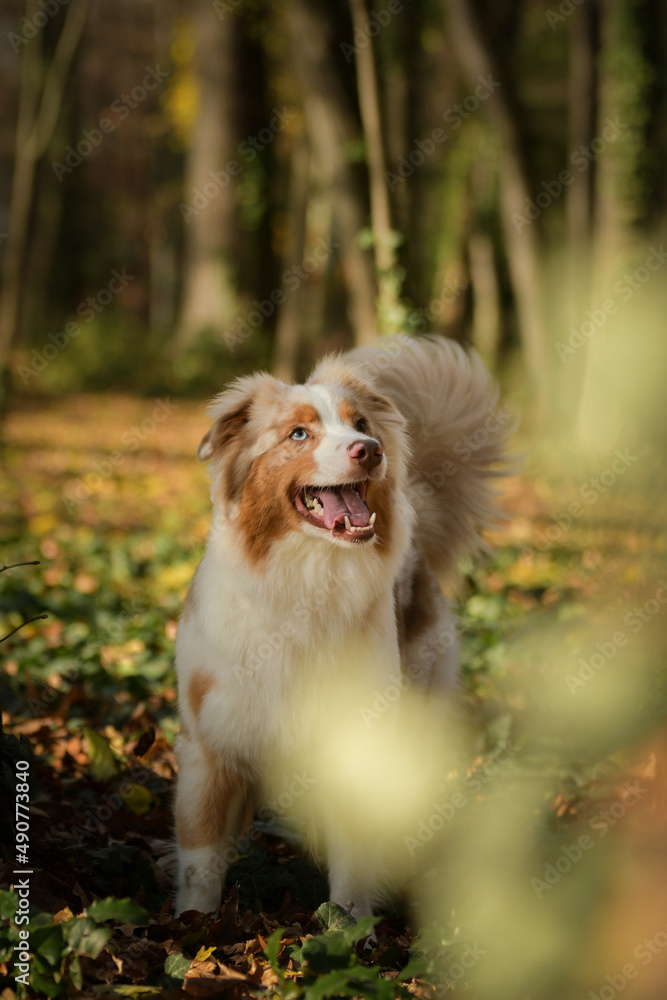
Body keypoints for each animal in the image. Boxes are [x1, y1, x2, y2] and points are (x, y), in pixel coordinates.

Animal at [174, 338, 512, 920]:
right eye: (298, 433)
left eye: (361, 424)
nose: (369, 450)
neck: (305, 582)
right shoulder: (209, 742)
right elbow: (201, 858)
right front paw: (192, 926)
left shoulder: (360, 743)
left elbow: (353, 866)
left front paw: (351, 932)